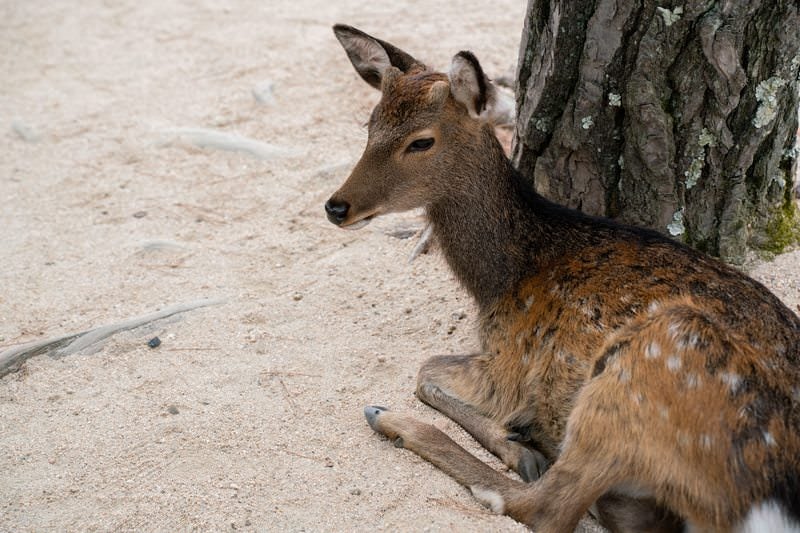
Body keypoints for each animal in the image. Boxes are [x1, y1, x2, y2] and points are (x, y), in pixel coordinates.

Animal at [324, 22, 800, 528]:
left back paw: (394, 419)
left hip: (647, 361)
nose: (336, 206)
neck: (502, 278)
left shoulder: (509, 360)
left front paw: (514, 441)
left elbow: (426, 369)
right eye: (370, 125)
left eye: (421, 141)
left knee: (545, 508)